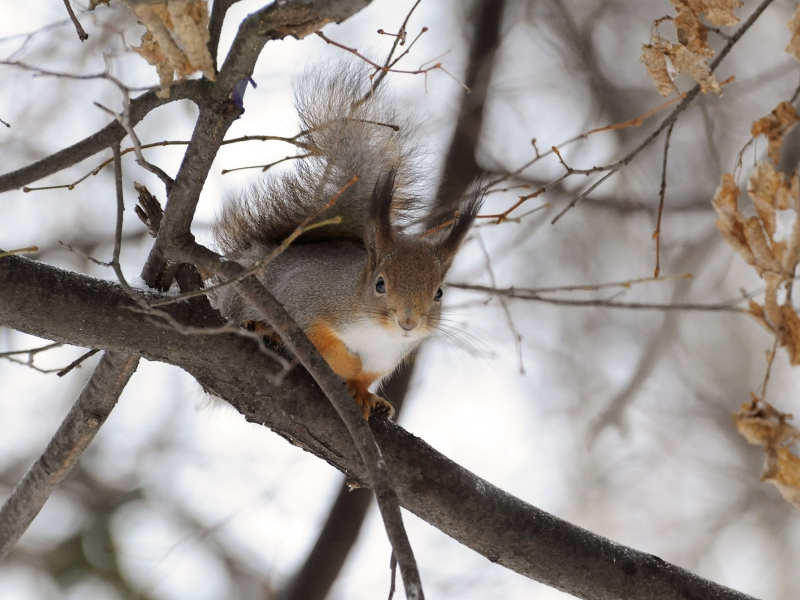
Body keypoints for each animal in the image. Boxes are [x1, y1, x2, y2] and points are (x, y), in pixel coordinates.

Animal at [211, 59, 482, 418]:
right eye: (379, 284)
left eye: (439, 292)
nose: (408, 322)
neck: (377, 333)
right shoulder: (307, 299)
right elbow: (322, 344)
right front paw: (349, 366)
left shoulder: (388, 358)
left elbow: (368, 375)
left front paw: (363, 391)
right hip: (242, 297)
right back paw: (264, 330)